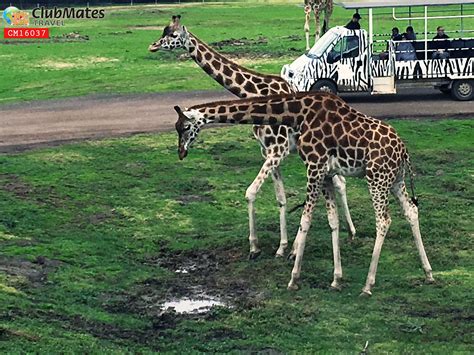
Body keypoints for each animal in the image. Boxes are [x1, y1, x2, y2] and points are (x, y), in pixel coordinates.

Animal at [148, 16, 356, 260]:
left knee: (339, 183)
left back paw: (346, 233)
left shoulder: (278, 150)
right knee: (339, 182)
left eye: (172, 35)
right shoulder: (268, 151)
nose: (152, 46)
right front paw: (281, 247)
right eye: (163, 31)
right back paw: (348, 233)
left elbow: (251, 193)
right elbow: (281, 198)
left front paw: (256, 247)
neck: (253, 92)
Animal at [173, 91, 434, 294]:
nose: (181, 153)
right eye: (177, 128)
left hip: (377, 178)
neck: (298, 113)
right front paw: (336, 279)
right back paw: (428, 272)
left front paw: (293, 278)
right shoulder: (326, 173)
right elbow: (332, 220)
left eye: (185, 127)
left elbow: (305, 219)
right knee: (411, 211)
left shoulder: (314, 166)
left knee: (383, 220)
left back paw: (368, 285)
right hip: (395, 180)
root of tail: (404, 151)